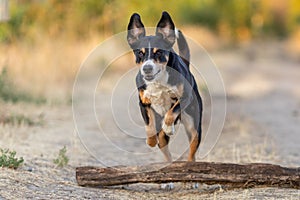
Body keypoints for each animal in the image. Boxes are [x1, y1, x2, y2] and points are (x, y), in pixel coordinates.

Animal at [126, 10, 202, 162]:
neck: (158, 81)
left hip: (194, 125)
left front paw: (168, 127)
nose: (147, 68)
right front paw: (151, 140)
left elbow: (172, 111)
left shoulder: (185, 97)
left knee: (192, 150)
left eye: (159, 52)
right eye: (140, 53)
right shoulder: (144, 103)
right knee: (164, 146)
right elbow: (149, 126)